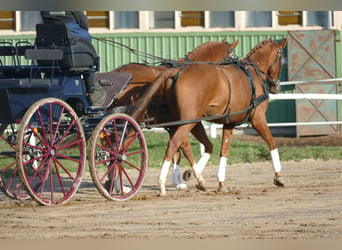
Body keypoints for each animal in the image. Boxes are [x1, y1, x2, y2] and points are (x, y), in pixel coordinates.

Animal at [109, 38, 238, 189]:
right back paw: (118, 184)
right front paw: (190, 177)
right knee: (118, 146)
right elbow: (184, 148)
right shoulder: (185, 122)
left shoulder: (173, 125)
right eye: (232, 57)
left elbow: (177, 153)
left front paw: (177, 181)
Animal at [130, 37, 288, 197]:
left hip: (188, 121)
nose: (276, 86)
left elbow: (224, 151)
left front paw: (220, 182)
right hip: (188, 122)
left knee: (186, 146)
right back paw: (161, 184)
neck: (252, 73)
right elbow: (272, 142)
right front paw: (279, 176)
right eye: (281, 57)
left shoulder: (229, 123)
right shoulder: (258, 119)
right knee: (173, 145)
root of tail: (175, 72)